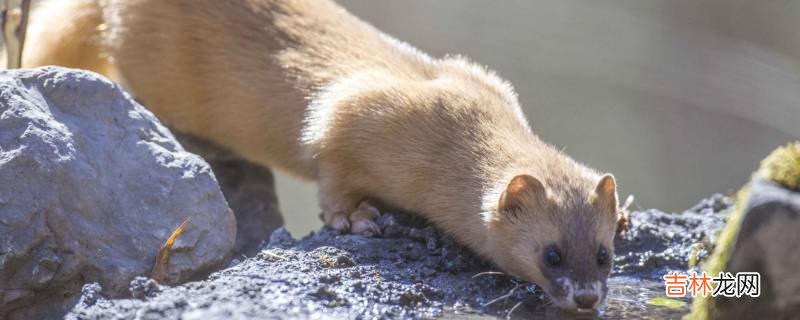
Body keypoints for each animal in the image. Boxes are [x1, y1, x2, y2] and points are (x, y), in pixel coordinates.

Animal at [18, 0, 620, 310]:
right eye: (551, 254)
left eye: (605, 253)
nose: (590, 299)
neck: (461, 115)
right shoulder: (349, 113)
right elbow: (331, 166)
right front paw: (358, 219)